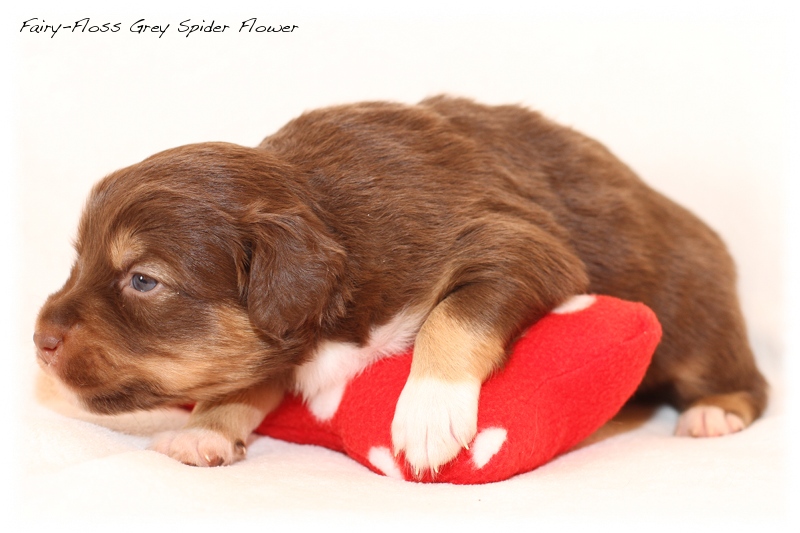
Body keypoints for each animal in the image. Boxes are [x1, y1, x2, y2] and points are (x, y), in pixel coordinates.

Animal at [36, 96, 768, 474]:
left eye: (142, 280)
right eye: (78, 260)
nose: (38, 339)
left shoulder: (518, 242)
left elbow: (454, 313)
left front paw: (426, 413)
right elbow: (249, 379)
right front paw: (207, 429)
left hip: (694, 311)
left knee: (744, 380)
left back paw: (713, 412)